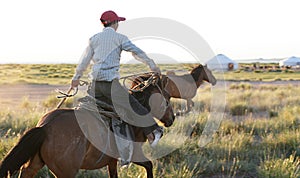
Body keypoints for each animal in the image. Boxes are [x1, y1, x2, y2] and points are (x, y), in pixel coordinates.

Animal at [0, 74, 173, 178]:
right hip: (66, 173)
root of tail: (44, 127)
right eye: (167, 97)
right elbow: (149, 165)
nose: (172, 118)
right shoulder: (134, 153)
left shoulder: (112, 161)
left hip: (35, 164)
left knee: (26, 171)